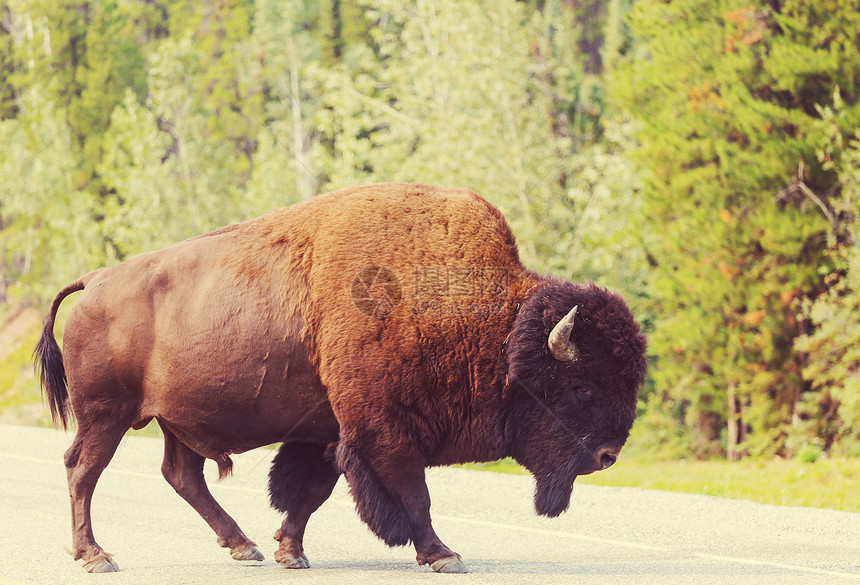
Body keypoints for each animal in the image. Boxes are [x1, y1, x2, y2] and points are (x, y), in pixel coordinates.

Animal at [35, 181, 644, 572]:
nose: (609, 455)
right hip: (106, 415)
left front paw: (291, 552)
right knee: (82, 471)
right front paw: (444, 556)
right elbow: (413, 496)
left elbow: (310, 493)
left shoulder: (331, 433)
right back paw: (97, 557)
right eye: (582, 387)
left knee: (181, 475)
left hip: (175, 420)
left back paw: (244, 546)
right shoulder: (384, 433)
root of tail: (95, 280)